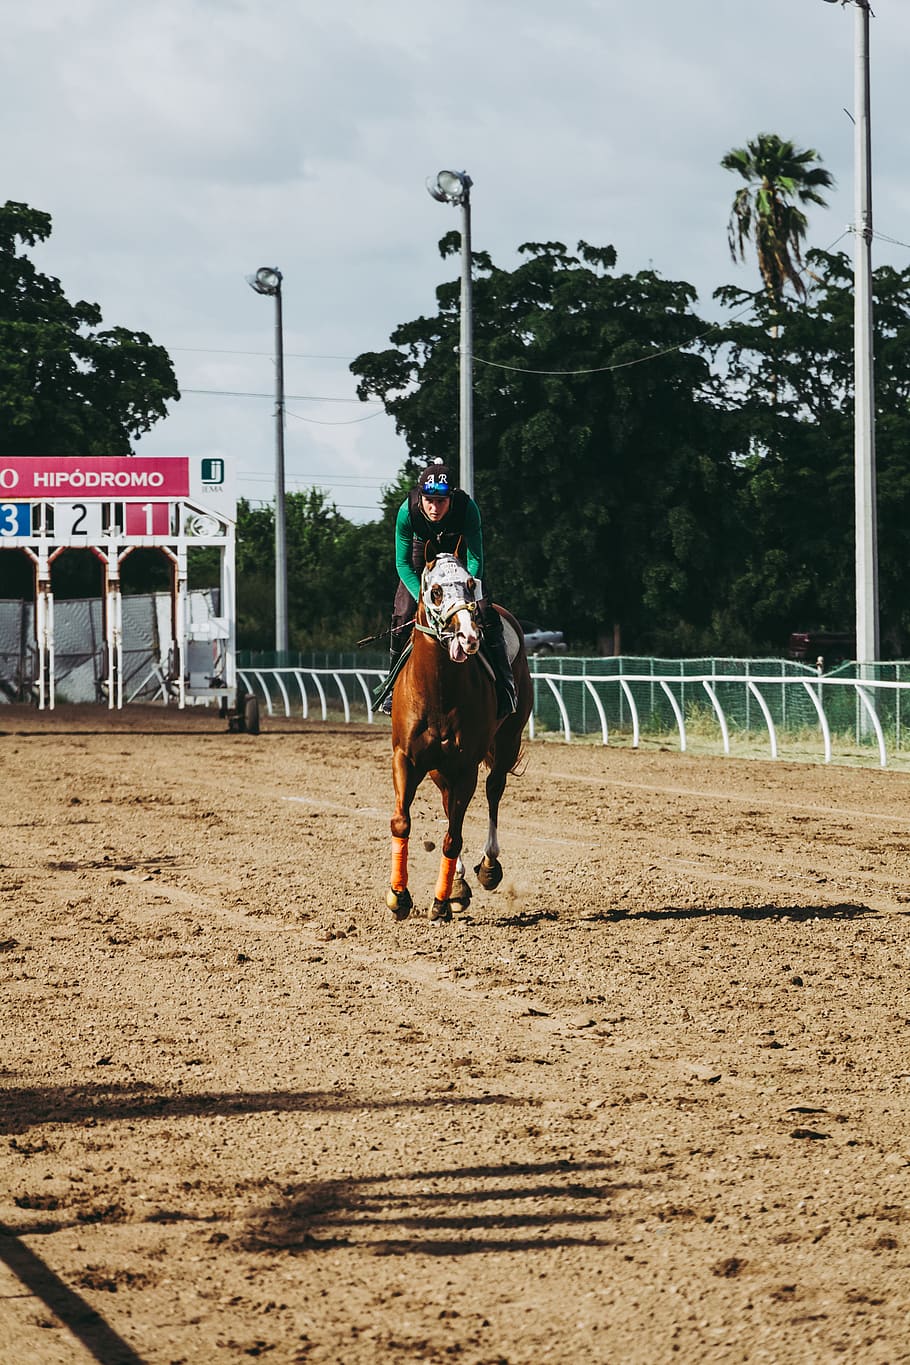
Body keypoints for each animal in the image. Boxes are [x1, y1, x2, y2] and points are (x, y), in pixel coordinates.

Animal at [385, 551, 533, 923]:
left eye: (469, 583)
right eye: (435, 591)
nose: (468, 635)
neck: (438, 690)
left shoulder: (466, 765)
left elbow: (454, 835)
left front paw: (439, 903)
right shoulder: (406, 758)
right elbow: (402, 822)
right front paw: (399, 896)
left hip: (508, 738)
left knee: (493, 790)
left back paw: (488, 867)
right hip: (440, 767)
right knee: (447, 801)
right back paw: (457, 885)